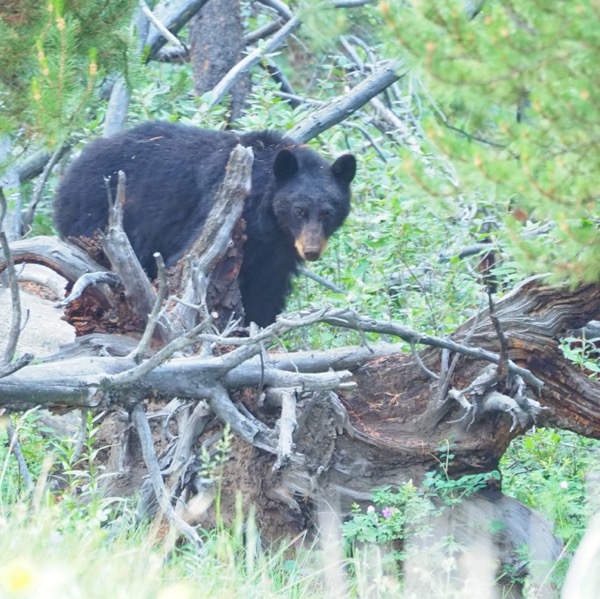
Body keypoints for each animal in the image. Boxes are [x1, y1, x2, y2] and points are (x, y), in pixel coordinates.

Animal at [54, 121, 354, 326]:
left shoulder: (278, 254)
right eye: (299, 211)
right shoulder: (221, 215)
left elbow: (266, 289)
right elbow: (186, 262)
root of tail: (70, 171)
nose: (311, 251)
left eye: (327, 212)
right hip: (95, 216)